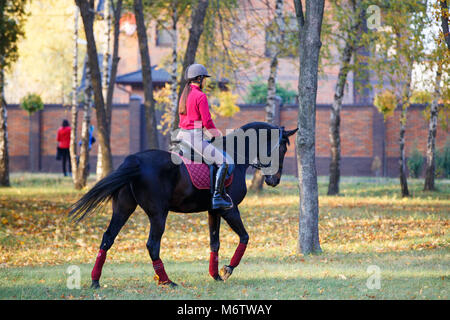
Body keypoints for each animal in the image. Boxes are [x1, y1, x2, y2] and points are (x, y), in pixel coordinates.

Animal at [68, 122, 298, 288]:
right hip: (158, 214)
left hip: (123, 208)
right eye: (283, 148)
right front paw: (228, 270)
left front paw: (215, 274)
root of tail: (135, 160)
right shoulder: (229, 209)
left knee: (108, 238)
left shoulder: (214, 211)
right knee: (152, 245)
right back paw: (167, 281)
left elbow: (215, 243)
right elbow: (245, 237)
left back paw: (95, 281)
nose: (275, 180)